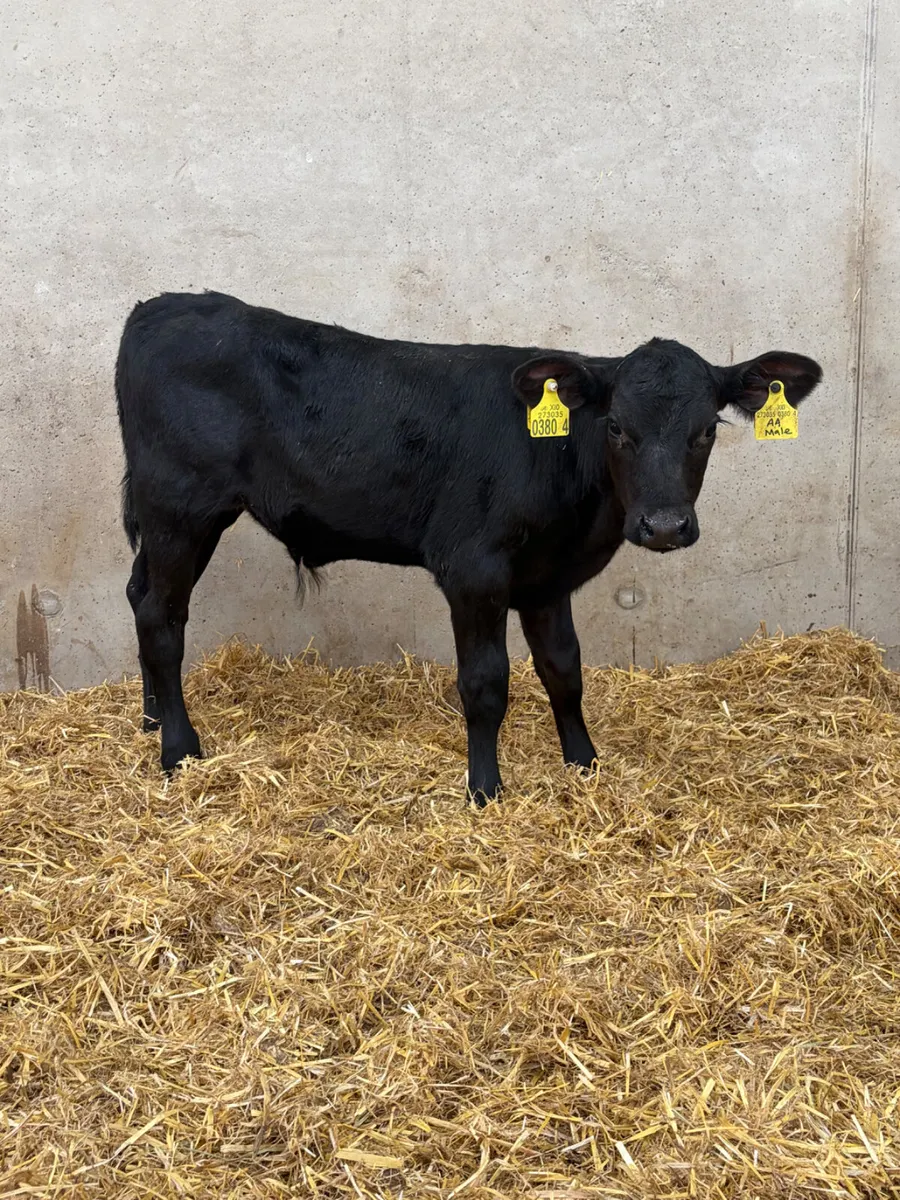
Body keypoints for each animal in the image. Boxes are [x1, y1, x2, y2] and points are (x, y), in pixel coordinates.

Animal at [115, 291, 821, 804]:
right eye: (617, 426)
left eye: (707, 431)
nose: (667, 526)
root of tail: (159, 305)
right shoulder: (474, 571)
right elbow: (485, 682)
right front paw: (485, 790)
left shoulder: (548, 579)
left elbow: (565, 670)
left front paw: (584, 764)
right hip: (181, 507)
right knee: (161, 618)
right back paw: (178, 749)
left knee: (138, 595)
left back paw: (148, 721)